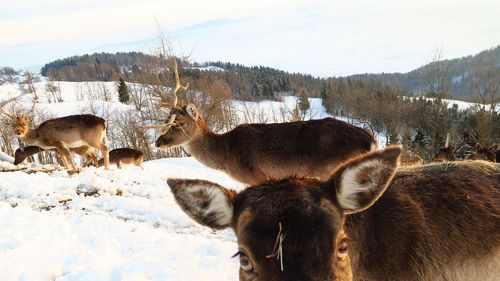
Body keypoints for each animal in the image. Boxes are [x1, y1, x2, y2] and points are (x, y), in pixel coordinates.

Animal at [144, 59, 376, 184]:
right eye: (167, 120)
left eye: (180, 123)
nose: (158, 141)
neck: (226, 156)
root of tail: (371, 141)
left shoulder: (255, 176)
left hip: (333, 170)